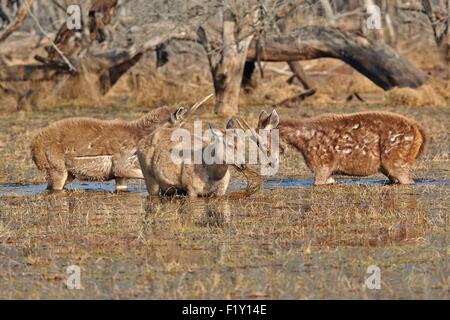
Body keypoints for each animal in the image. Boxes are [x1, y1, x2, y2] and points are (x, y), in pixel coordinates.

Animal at [31, 105, 185, 191]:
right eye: (182, 127)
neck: (140, 136)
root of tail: (35, 147)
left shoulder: (120, 176)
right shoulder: (121, 167)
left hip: (70, 174)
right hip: (57, 170)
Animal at [136, 110, 282, 198]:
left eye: (243, 145)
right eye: (230, 145)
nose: (243, 165)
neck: (212, 174)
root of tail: (139, 144)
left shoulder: (221, 191)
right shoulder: (191, 189)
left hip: (167, 187)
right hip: (149, 178)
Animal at [280, 111, 428, 185]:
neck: (301, 142)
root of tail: (420, 133)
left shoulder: (322, 164)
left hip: (397, 160)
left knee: (408, 180)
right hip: (389, 166)